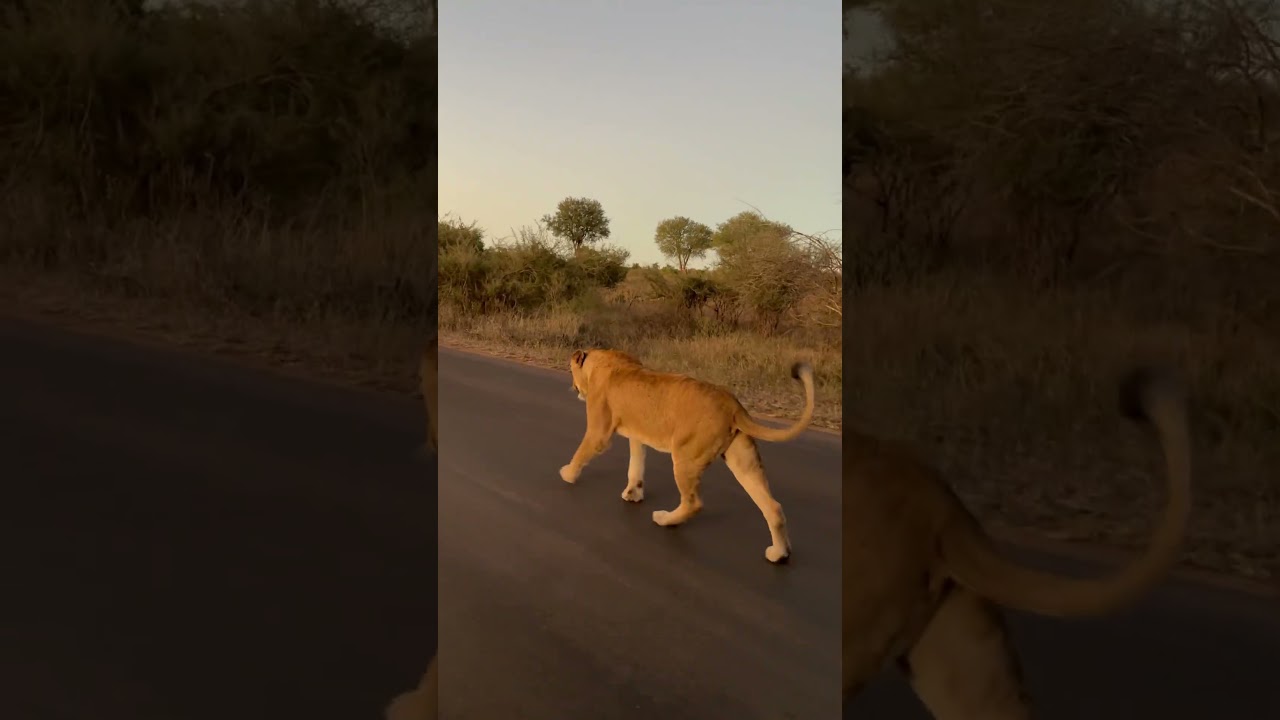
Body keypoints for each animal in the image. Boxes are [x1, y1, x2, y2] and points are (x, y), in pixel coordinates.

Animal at [559, 348, 816, 563]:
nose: (572, 388)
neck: (600, 360)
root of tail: (732, 404)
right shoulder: (637, 434)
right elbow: (636, 464)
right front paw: (633, 493)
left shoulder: (599, 433)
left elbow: (582, 451)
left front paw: (568, 474)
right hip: (743, 459)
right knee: (773, 506)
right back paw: (779, 554)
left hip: (686, 457)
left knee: (694, 503)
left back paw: (665, 519)